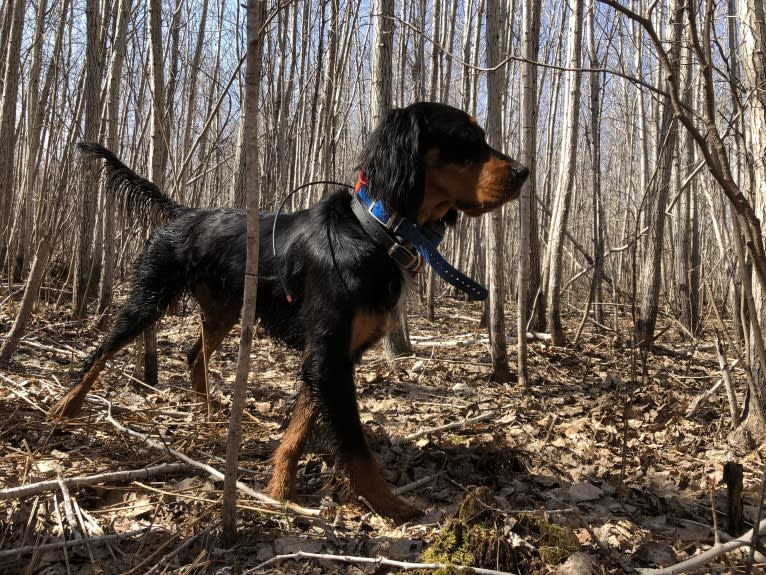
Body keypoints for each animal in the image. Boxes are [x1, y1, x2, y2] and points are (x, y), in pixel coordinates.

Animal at [51, 101, 532, 524]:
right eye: (465, 136)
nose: (524, 172)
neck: (375, 232)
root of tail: (183, 212)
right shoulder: (328, 357)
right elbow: (355, 445)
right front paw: (390, 506)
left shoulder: (329, 357)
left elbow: (298, 430)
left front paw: (280, 492)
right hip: (149, 297)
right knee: (100, 351)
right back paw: (65, 408)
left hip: (224, 309)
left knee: (193, 355)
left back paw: (210, 412)